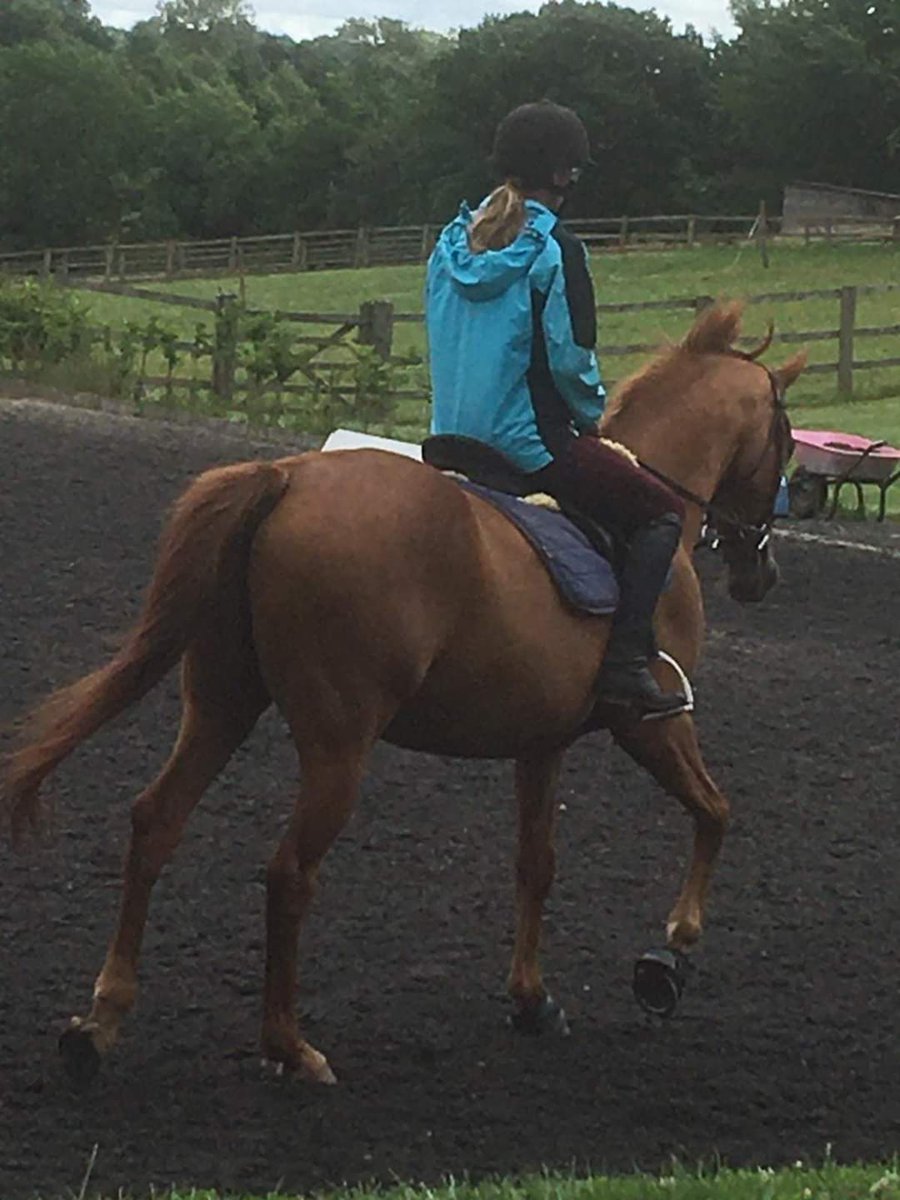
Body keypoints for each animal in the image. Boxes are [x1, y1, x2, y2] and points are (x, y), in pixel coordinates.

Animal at [1, 301, 805, 1086]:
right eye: (786, 437)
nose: (760, 572)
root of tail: (286, 478)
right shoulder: (652, 725)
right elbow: (715, 813)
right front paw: (672, 951)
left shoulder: (540, 742)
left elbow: (536, 864)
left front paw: (532, 999)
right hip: (339, 744)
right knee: (289, 873)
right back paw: (288, 1045)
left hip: (221, 706)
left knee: (155, 822)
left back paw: (101, 1021)